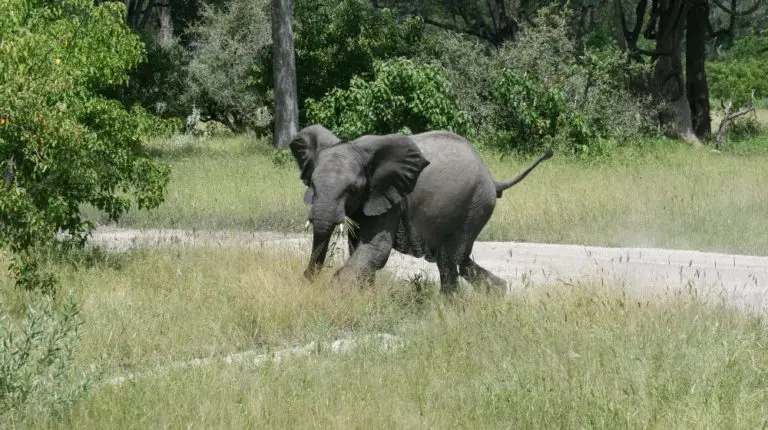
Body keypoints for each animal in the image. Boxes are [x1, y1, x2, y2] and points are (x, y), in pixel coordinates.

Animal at [289, 124, 553, 294]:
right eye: (312, 184)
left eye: (352, 189)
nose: (305, 279)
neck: (356, 147)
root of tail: (492, 179)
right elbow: (359, 247)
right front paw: (364, 296)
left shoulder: (392, 197)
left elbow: (376, 248)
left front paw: (332, 293)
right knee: (459, 260)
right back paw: (498, 293)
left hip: (475, 205)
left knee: (450, 259)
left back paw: (452, 308)